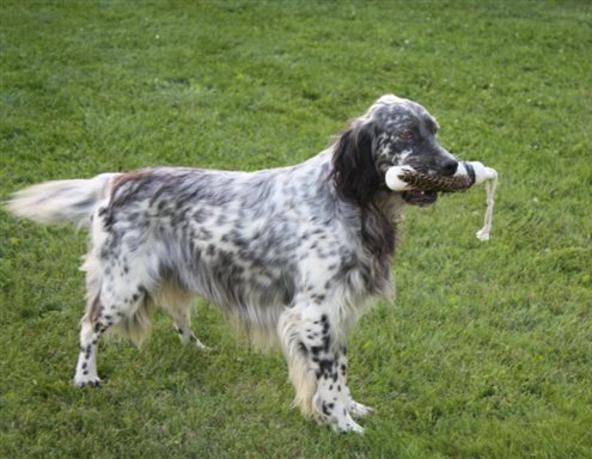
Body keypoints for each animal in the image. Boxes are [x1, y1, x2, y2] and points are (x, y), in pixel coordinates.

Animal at [6, 95, 458, 434]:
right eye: (406, 134)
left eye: (434, 130)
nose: (453, 165)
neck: (347, 199)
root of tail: (115, 181)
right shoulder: (315, 312)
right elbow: (327, 380)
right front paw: (342, 424)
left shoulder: (338, 310)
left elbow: (339, 371)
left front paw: (352, 408)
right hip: (123, 285)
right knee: (88, 327)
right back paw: (85, 378)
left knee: (177, 314)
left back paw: (197, 348)